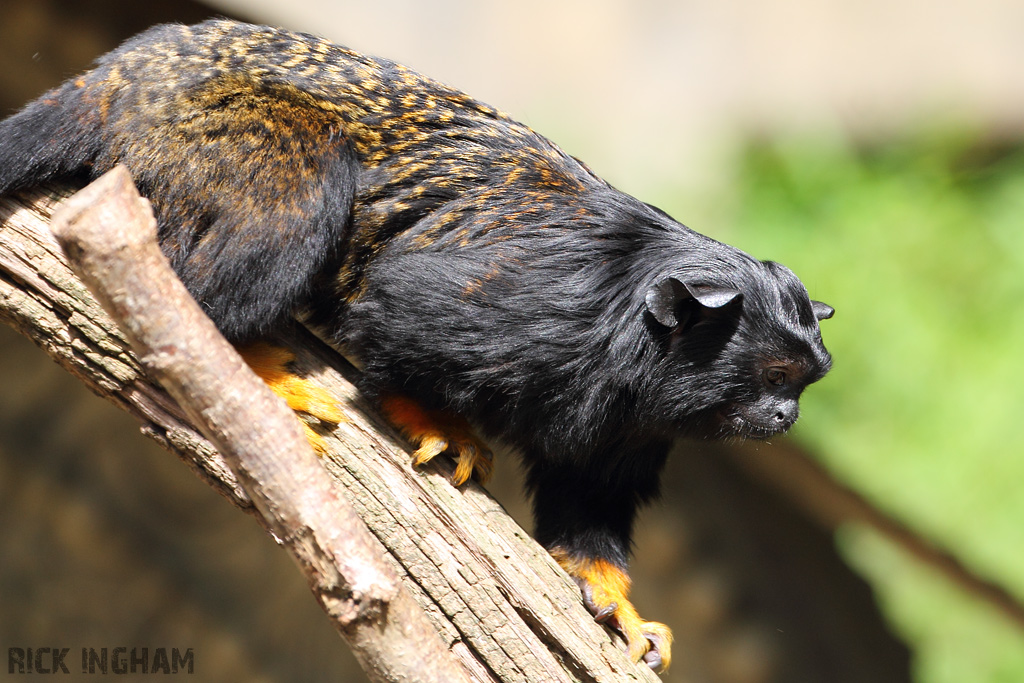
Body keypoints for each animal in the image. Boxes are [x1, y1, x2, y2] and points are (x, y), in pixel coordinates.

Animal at [0, 18, 831, 671]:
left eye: (803, 383)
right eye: (773, 374)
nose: (785, 416)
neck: (629, 335)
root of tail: (127, 69)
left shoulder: (631, 420)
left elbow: (588, 494)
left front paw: (608, 593)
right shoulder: (531, 310)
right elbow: (400, 308)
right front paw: (430, 415)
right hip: (220, 131)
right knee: (295, 189)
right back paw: (236, 359)